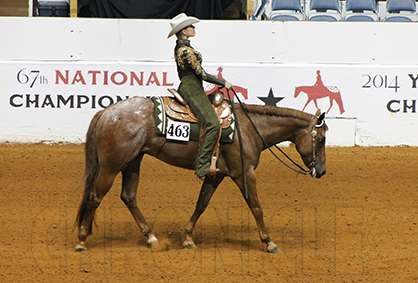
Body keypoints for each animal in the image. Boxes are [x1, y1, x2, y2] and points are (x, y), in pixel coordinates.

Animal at [75, 96, 328, 255]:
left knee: (128, 196)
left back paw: (151, 238)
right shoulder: (244, 173)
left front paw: (188, 238)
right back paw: (82, 240)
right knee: (95, 196)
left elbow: (201, 203)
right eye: (322, 139)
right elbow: (256, 207)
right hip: (112, 165)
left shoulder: (216, 175)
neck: (249, 128)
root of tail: (106, 112)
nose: (322, 171)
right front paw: (269, 242)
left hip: (132, 162)